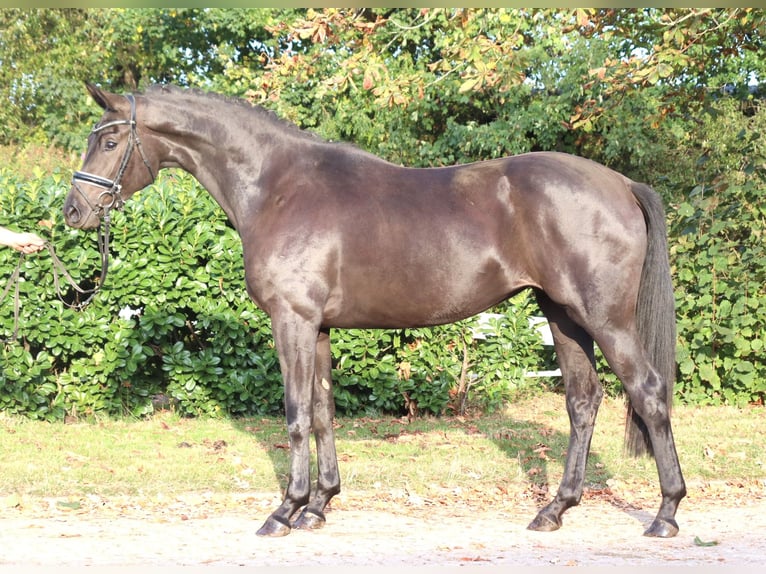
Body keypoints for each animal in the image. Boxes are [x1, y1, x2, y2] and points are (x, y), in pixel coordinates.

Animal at [63, 83, 686, 538]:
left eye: (110, 140)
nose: (74, 211)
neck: (276, 186)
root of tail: (621, 182)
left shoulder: (291, 320)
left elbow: (295, 414)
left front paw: (284, 512)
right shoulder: (316, 328)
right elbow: (321, 412)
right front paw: (318, 505)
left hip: (604, 318)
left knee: (648, 391)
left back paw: (666, 514)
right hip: (563, 315)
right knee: (583, 401)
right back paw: (555, 510)